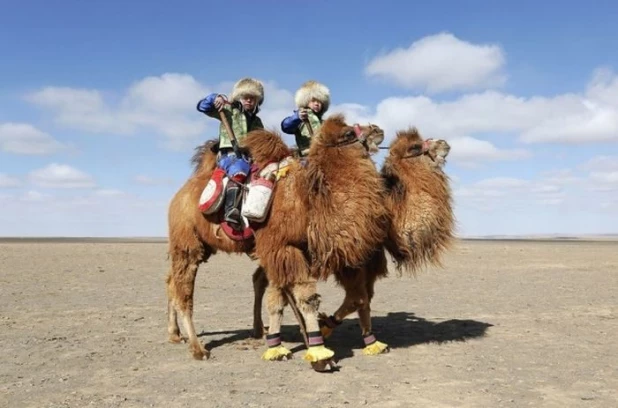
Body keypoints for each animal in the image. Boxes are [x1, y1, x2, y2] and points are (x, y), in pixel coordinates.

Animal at [164, 113, 384, 368]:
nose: (377, 129)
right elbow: (305, 298)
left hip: (201, 245)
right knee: (184, 291)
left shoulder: (288, 251)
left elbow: (281, 298)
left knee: (172, 281)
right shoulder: (282, 247)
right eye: (348, 133)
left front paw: (288, 343)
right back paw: (198, 348)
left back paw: (176, 334)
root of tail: (180, 195)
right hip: (187, 242)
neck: (308, 201)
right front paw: (318, 353)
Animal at [249, 126, 452, 356]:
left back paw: (260, 331)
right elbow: (355, 298)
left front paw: (366, 340)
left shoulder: (363, 259)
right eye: (415, 147)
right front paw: (320, 335)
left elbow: (361, 299)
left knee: (260, 280)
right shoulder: (322, 255)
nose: (443, 143)